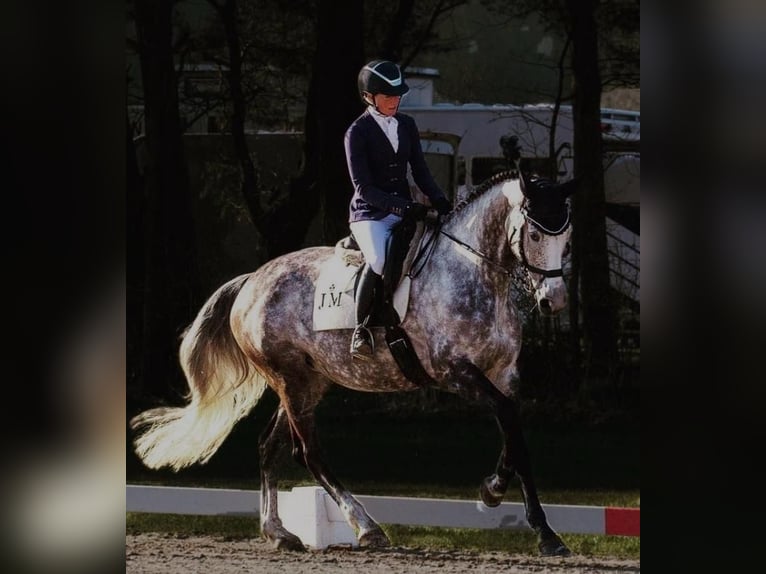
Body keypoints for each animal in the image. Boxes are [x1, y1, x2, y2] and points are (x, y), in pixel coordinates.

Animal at [129, 170, 578, 556]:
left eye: (567, 237)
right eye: (535, 232)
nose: (553, 301)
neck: (476, 272)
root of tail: (252, 280)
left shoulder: (504, 375)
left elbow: (515, 437)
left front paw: (531, 522)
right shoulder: (455, 371)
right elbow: (509, 423)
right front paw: (498, 496)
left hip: (309, 382)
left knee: (270, 446)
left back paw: (279, 533)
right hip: (290, 379)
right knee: (307, 452)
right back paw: (366, 526)